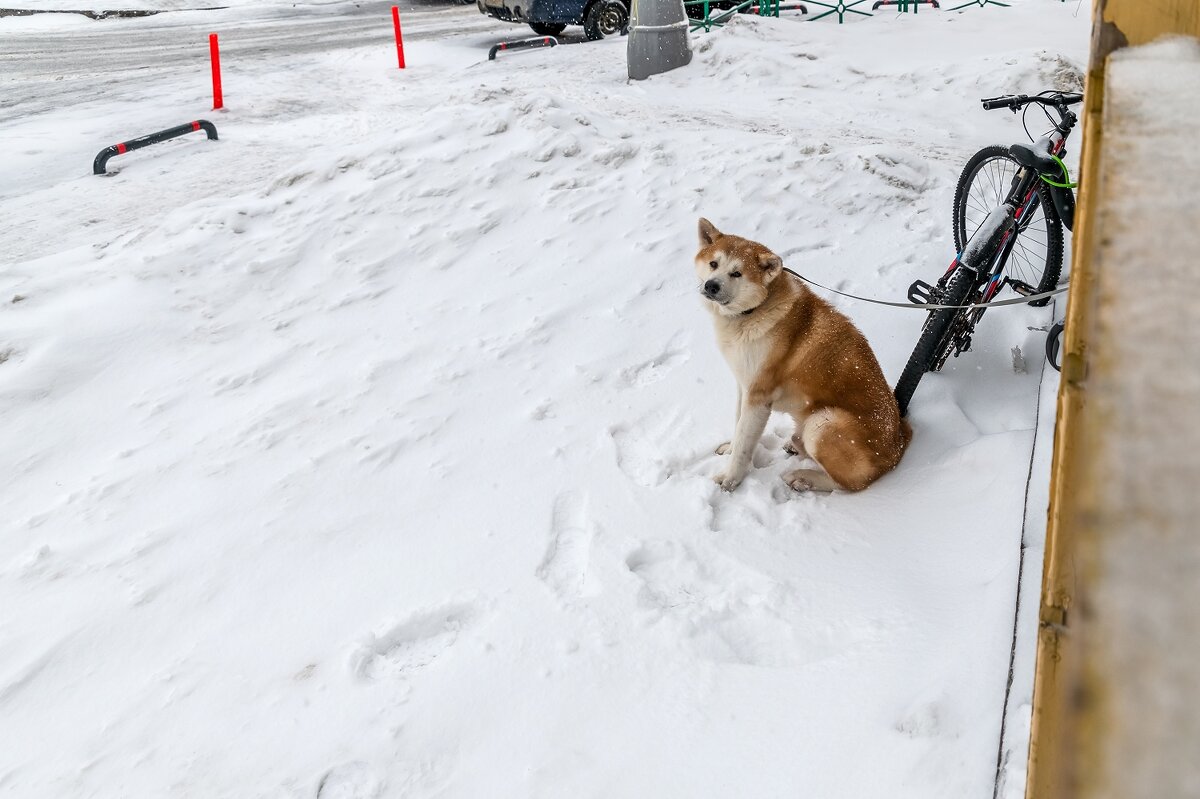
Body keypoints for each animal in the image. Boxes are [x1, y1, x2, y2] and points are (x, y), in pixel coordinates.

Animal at [696, 218, 907, 491]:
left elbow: (744, 442)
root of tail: (899, 443)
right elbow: (738, 426)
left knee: (846, 484)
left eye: (737, 273)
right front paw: (730, 449)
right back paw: (794, 446)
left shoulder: (758, 396)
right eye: (714, 264)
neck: (754, 311)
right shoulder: (744, 386)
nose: (711, 285)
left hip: (823, 422)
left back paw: (803, 477)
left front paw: (730, 479)